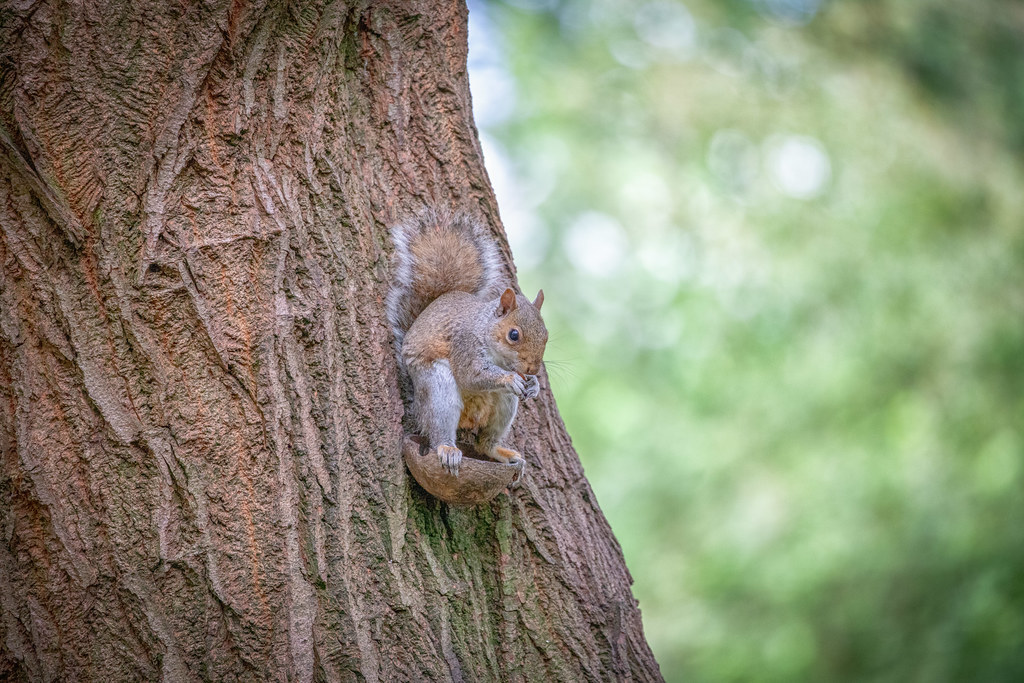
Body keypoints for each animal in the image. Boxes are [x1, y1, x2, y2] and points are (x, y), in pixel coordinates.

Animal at [386, 209, 548, 481]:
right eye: (514, 335)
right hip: (437, 388)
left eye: (547, 335)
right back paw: (448, 449)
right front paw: (509, 378)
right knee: (438, 428)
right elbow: (471, 374)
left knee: (485, 443)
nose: (533, 369)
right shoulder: (465, 344)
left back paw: (501, 453)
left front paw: (533, 385)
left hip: (504, 404)